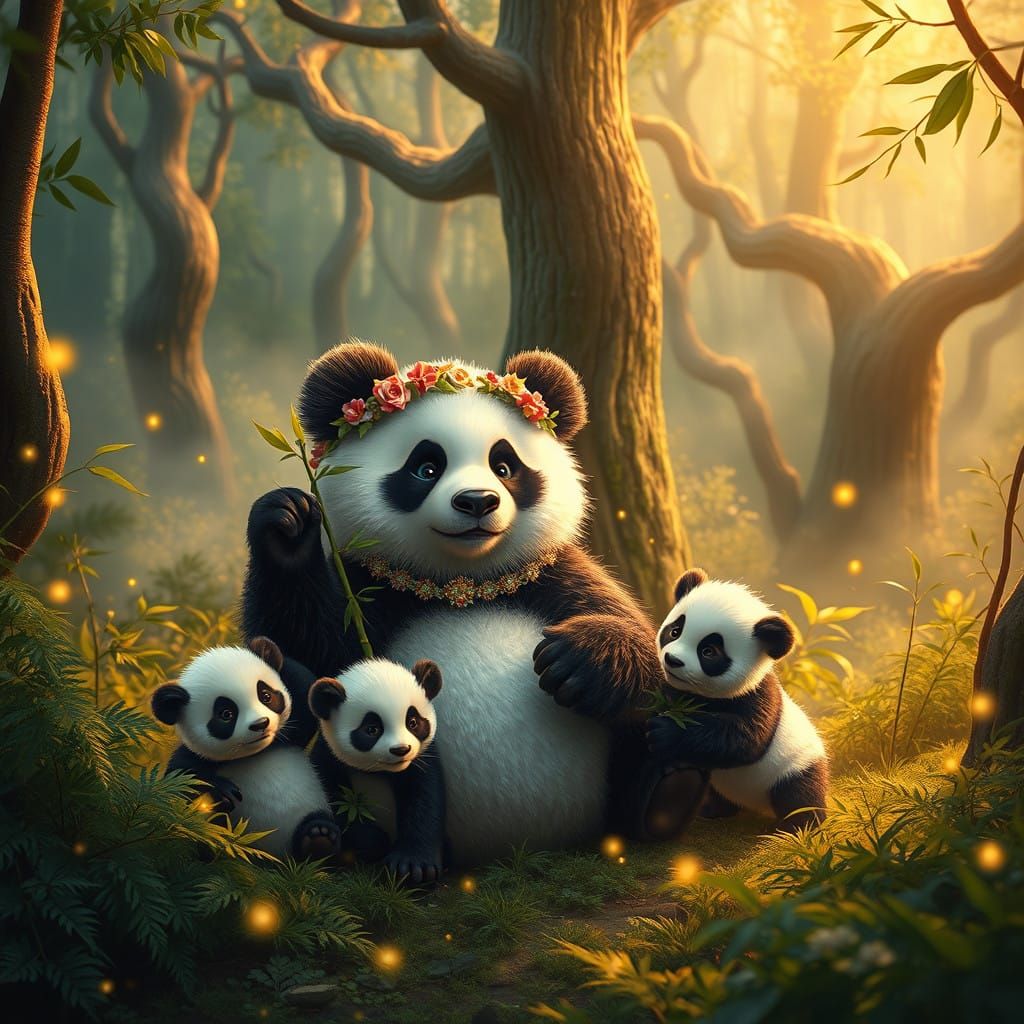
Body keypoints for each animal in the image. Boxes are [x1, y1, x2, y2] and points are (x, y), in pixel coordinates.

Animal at [151, 637, 340, 860]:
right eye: (226, 714)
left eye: (266, 696)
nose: (260, 724)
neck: (256, 753)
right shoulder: (196, 757)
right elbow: (179, 782)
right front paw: (222, 791)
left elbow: (305, 692)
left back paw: (319, 837)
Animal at [308, 658, 445, 884]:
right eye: (372, 729)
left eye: (412, 722)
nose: (401, 750)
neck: (378, 771)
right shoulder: (327, 758)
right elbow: (334, 800)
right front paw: (373, 839)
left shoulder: (421, 763)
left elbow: (425, 802)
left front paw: (412, 865)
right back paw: (319, 838)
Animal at [645, 569, 829, 833]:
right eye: (674, 631)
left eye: (708, 651)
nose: (673, 660)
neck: (702, 694)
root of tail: (756, 804)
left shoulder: (758, 696)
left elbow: (746, 738)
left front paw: (664, 732)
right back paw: (712, 810)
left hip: (795, 765)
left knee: (799, 793)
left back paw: (797, 827)